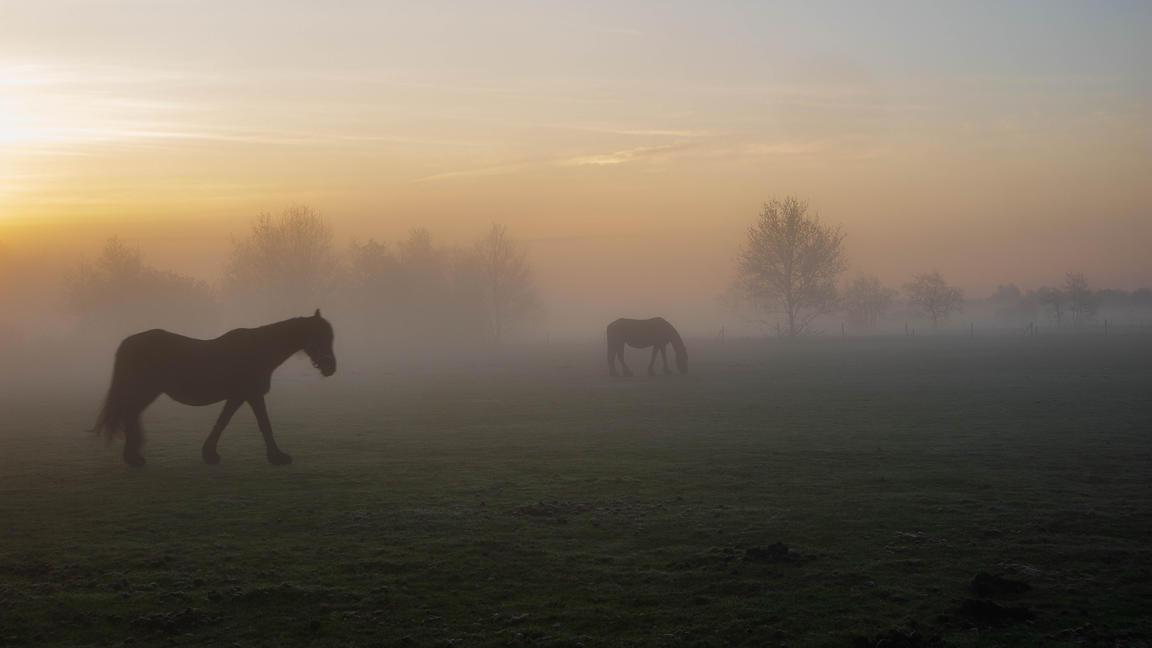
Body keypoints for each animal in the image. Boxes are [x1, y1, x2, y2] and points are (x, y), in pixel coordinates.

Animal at [91, 309, 336, 463]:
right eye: (320, 336)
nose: (331, 368)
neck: (258, 349)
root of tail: (130, 342)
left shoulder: (238, 396)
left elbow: (222, 421)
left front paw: (209, 453)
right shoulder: (253, 395)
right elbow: (263, 424)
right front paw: (277, 457)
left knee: (130, 414)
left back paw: (134, 456)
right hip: (145, 390)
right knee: (129, 414)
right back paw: (133, 457)